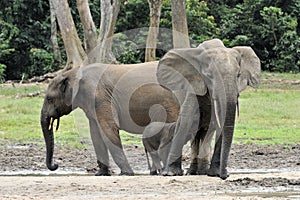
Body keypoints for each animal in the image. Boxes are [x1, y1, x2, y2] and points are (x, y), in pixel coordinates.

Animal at [40, 62, 180, 175]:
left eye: (49, 99)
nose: (55, 165)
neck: (72, 73)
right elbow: (95, 134)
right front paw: (101, 174)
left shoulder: (100, 97)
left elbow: (108, 129)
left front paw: (126, 173)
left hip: (170, 104)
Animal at [157, 38, 260, 179]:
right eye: (209, 76)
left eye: (238, 75)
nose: (225, 175)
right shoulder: (193, 86)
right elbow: (186, 120)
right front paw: (171, 173)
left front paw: (214, 173)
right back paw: (192, 172)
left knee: (204, 133)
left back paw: (201, 172)